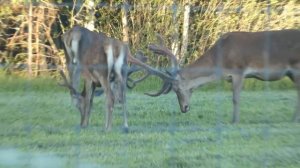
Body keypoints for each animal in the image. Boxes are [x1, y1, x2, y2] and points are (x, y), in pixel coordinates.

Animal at [140, 30, 300, 123]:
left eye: (177, 89)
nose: (184, 108)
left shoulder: (238, 70)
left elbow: (235, 98)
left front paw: (234, 121)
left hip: (296, 68)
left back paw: (293, 120)